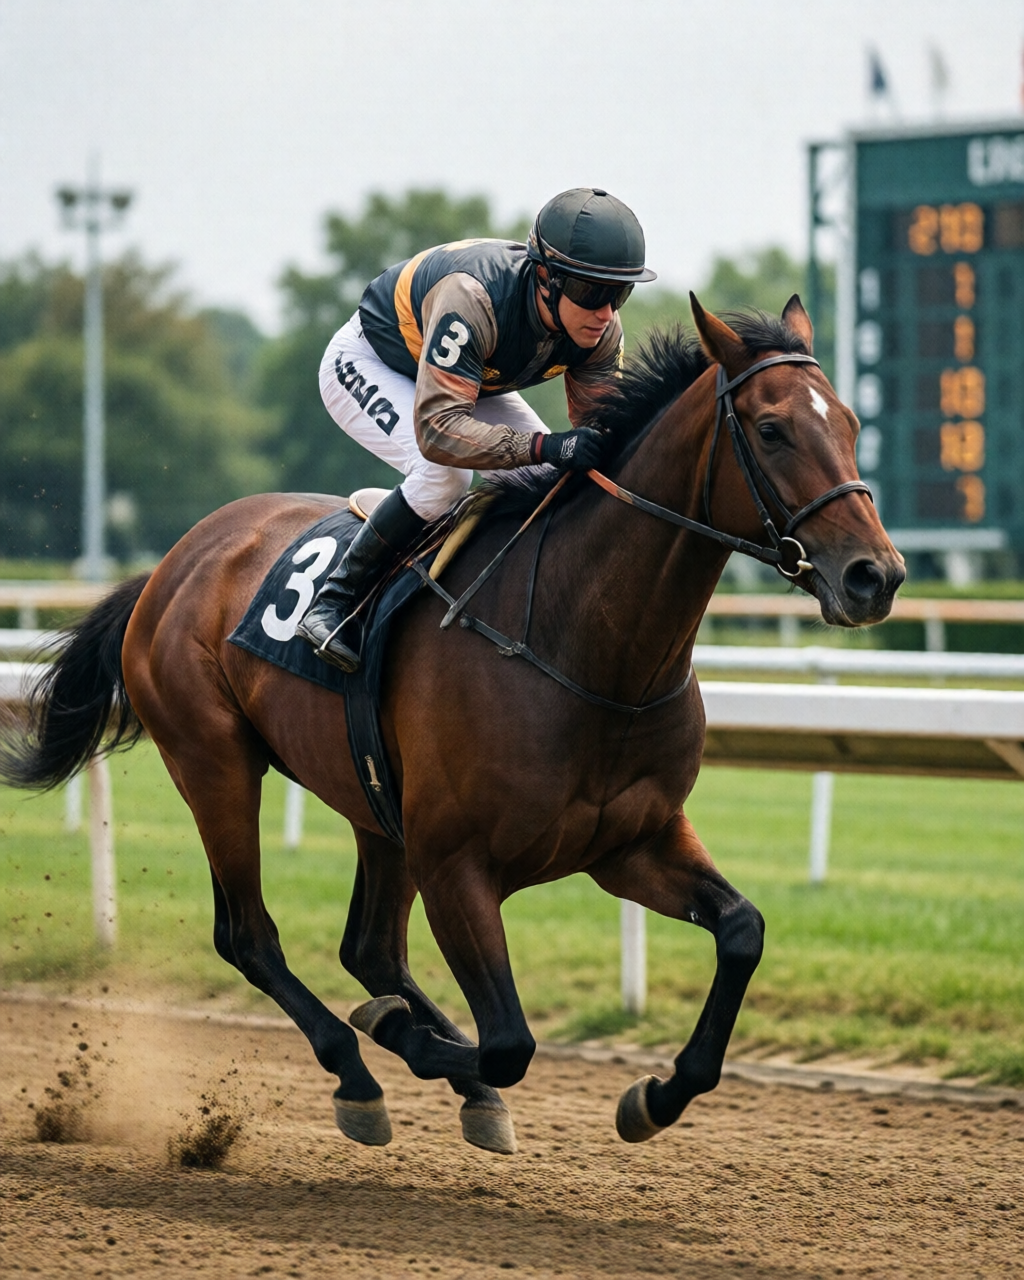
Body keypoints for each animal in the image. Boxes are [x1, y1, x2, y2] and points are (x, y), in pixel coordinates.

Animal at [0, 295, 904, 1156]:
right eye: (772, 429)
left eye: (852, 424)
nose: (876, 575)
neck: (584, 646)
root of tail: (169, 565)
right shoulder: (456, 864)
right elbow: (508, 1040)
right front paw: (402, 1034)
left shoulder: (630, 843)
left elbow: (742, 931)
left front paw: (654, 1096)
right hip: (214, 762)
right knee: (251, 938)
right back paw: (360, 1071)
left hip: (374, 805)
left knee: (367, 948)